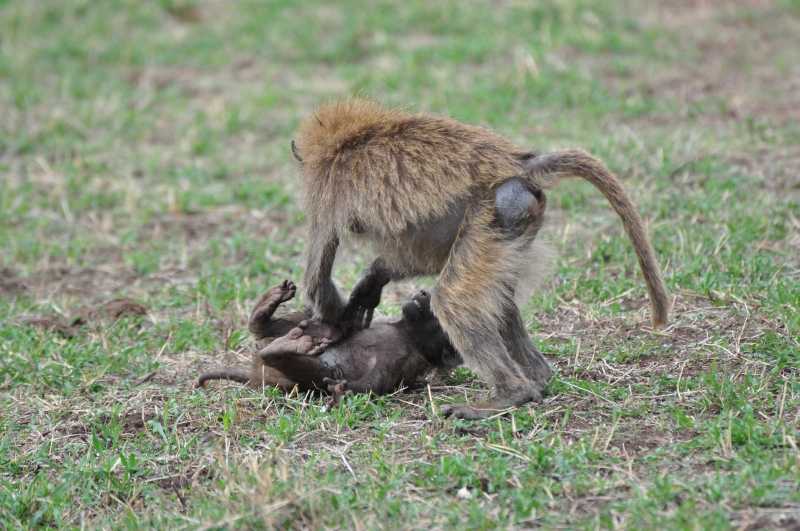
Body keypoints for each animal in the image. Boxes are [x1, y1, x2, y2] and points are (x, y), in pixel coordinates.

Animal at [194, 280, 462, 402]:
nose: (424, 293)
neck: (406, 334)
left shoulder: (403, 360)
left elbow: (371, 385)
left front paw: (341, 391)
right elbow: (349, 328)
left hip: (298, 380)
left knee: (317, 372)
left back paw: (284, 348)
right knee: (309, 330)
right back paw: (267, 311)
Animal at [290, 98, 670, 420]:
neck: (348, 137)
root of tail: (520, 163)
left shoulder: (326, 190)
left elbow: (317, 275)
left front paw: (338, 322)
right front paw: (373, 280)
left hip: (494, 210)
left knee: (453, 300)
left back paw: (510, 395)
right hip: (514, 224)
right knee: (499, 301)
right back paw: (538, 379)